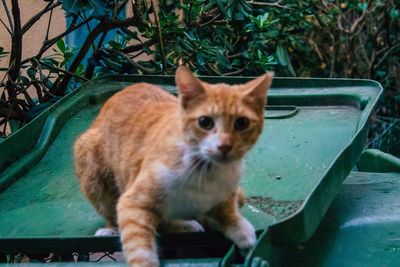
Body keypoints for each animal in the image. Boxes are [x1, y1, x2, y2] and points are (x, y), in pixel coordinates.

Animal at [73, 66, 274, 266]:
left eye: (242, 123)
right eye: (205, 122)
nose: (224, 146)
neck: (206, 172)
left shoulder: (228, 193)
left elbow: (228, 212)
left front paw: (243, 233)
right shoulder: (132, 203)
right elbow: (141, 249)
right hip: (92, 169)